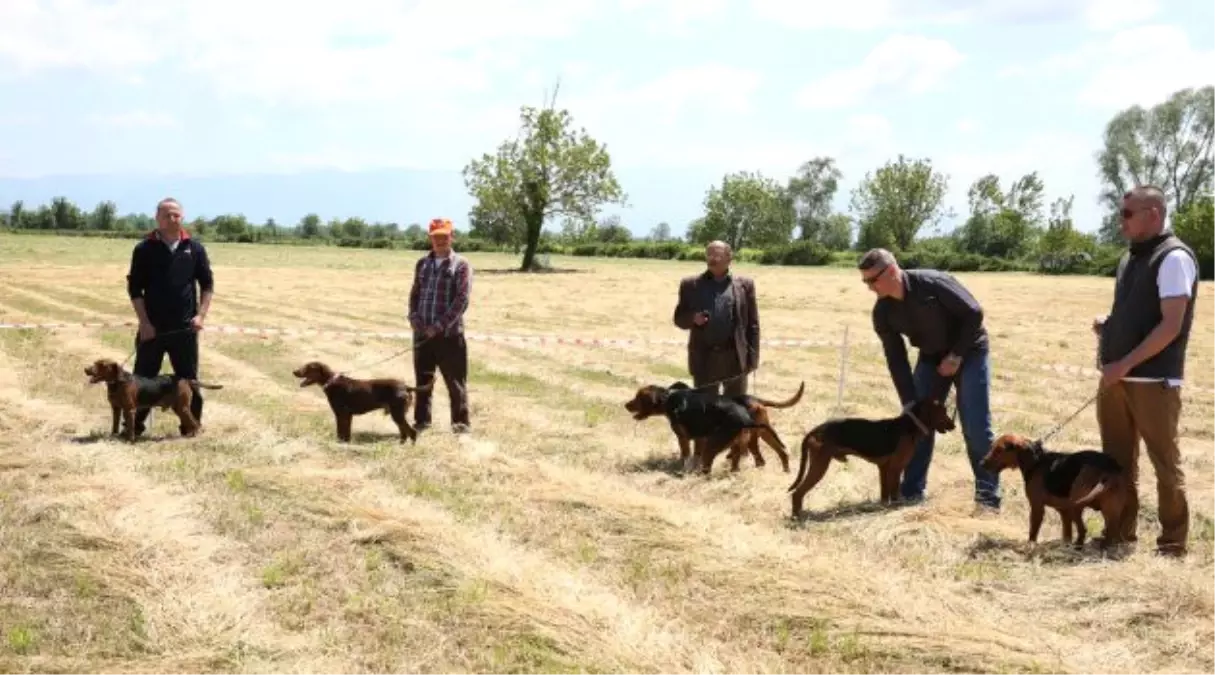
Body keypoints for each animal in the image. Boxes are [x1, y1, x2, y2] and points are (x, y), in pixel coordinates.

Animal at [83, 356, 223, 446]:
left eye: (102, 365)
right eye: (95, 363)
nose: (86, 369)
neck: (118, 382)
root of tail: (185, 379)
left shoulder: (130, 410)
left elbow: (131, 427)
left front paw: (130, 441)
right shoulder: (116, 408)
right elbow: (115, 425)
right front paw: (114, 436)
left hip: (182, 408)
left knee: (196, 423)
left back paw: (194, 436)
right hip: (178, 408)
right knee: (192, 423)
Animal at [290, 361, 432, 446]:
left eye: (309, 367)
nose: (294, 371)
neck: (331, 382)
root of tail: (406, 387)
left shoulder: (342, 414)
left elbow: (341, 431)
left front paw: (340, 443)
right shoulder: (346, 415)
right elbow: (345, 433)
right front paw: (344, 443)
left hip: (397, 413)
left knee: (412, 432)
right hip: (396, 414)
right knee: (404, 432)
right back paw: (400, 445)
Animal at [622, 378, 801, 473]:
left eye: (638, 397)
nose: (626, 405)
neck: (669, 399)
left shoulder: (683, 438)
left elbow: (686, 455)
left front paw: (682, 469)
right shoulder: (700, 438)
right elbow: (695, 455)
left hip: (720, 443)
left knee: (710, 466)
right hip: (761, 434)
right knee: (777, 454)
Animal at [787, 398, 957, 519]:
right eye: (943, 411)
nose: (954, 426)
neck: (909, 426)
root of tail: (815, 430)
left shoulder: (884, 468)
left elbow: (885, 494)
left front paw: (883, 509)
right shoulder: (896, 468)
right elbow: (895, 493)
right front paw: (895, 508)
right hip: (819, 465)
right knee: (797, 493)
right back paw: (797, 518)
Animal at [976, 432, 1127, 548]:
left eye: (999, 450)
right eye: (992, 447)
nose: (981, 464)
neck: (1036, 461)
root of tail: (1109, 468)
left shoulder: (1037, 507)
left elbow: (1033, 532)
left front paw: (1030, 546)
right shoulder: (1064, 511)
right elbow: (1066, 534)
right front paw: (1064, 546)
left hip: (1077, 504)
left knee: (1083, 530)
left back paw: (1079, 547)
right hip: (1111, 510)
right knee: (1111, 532)